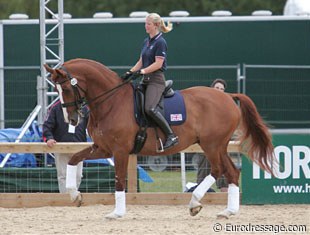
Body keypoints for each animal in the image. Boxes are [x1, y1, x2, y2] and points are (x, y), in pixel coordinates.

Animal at [44, 58, 274, 218]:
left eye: (66, 88)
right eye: (55, 89)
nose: (72, 118)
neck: (111, 102)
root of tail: (227, 96)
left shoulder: (120, 151)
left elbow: (119, 179)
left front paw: (117, 213)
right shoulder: (103, 148)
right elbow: (74, 159)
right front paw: (75, 195)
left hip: (211, 145)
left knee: (217, 170)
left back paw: (194, 203)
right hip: (219, 146)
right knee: (232, 172)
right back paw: (228, 212)